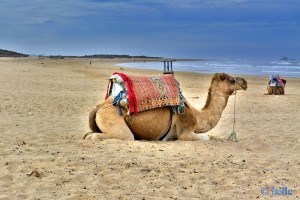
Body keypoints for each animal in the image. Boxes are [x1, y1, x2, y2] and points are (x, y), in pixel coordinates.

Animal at [82, 73, 246, 141]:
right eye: (231, 80)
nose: (245, 82)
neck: (197, 116)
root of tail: (98, 108)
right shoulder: (186, 130)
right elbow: (206, 137)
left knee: (88, 134)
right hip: (113, 120)